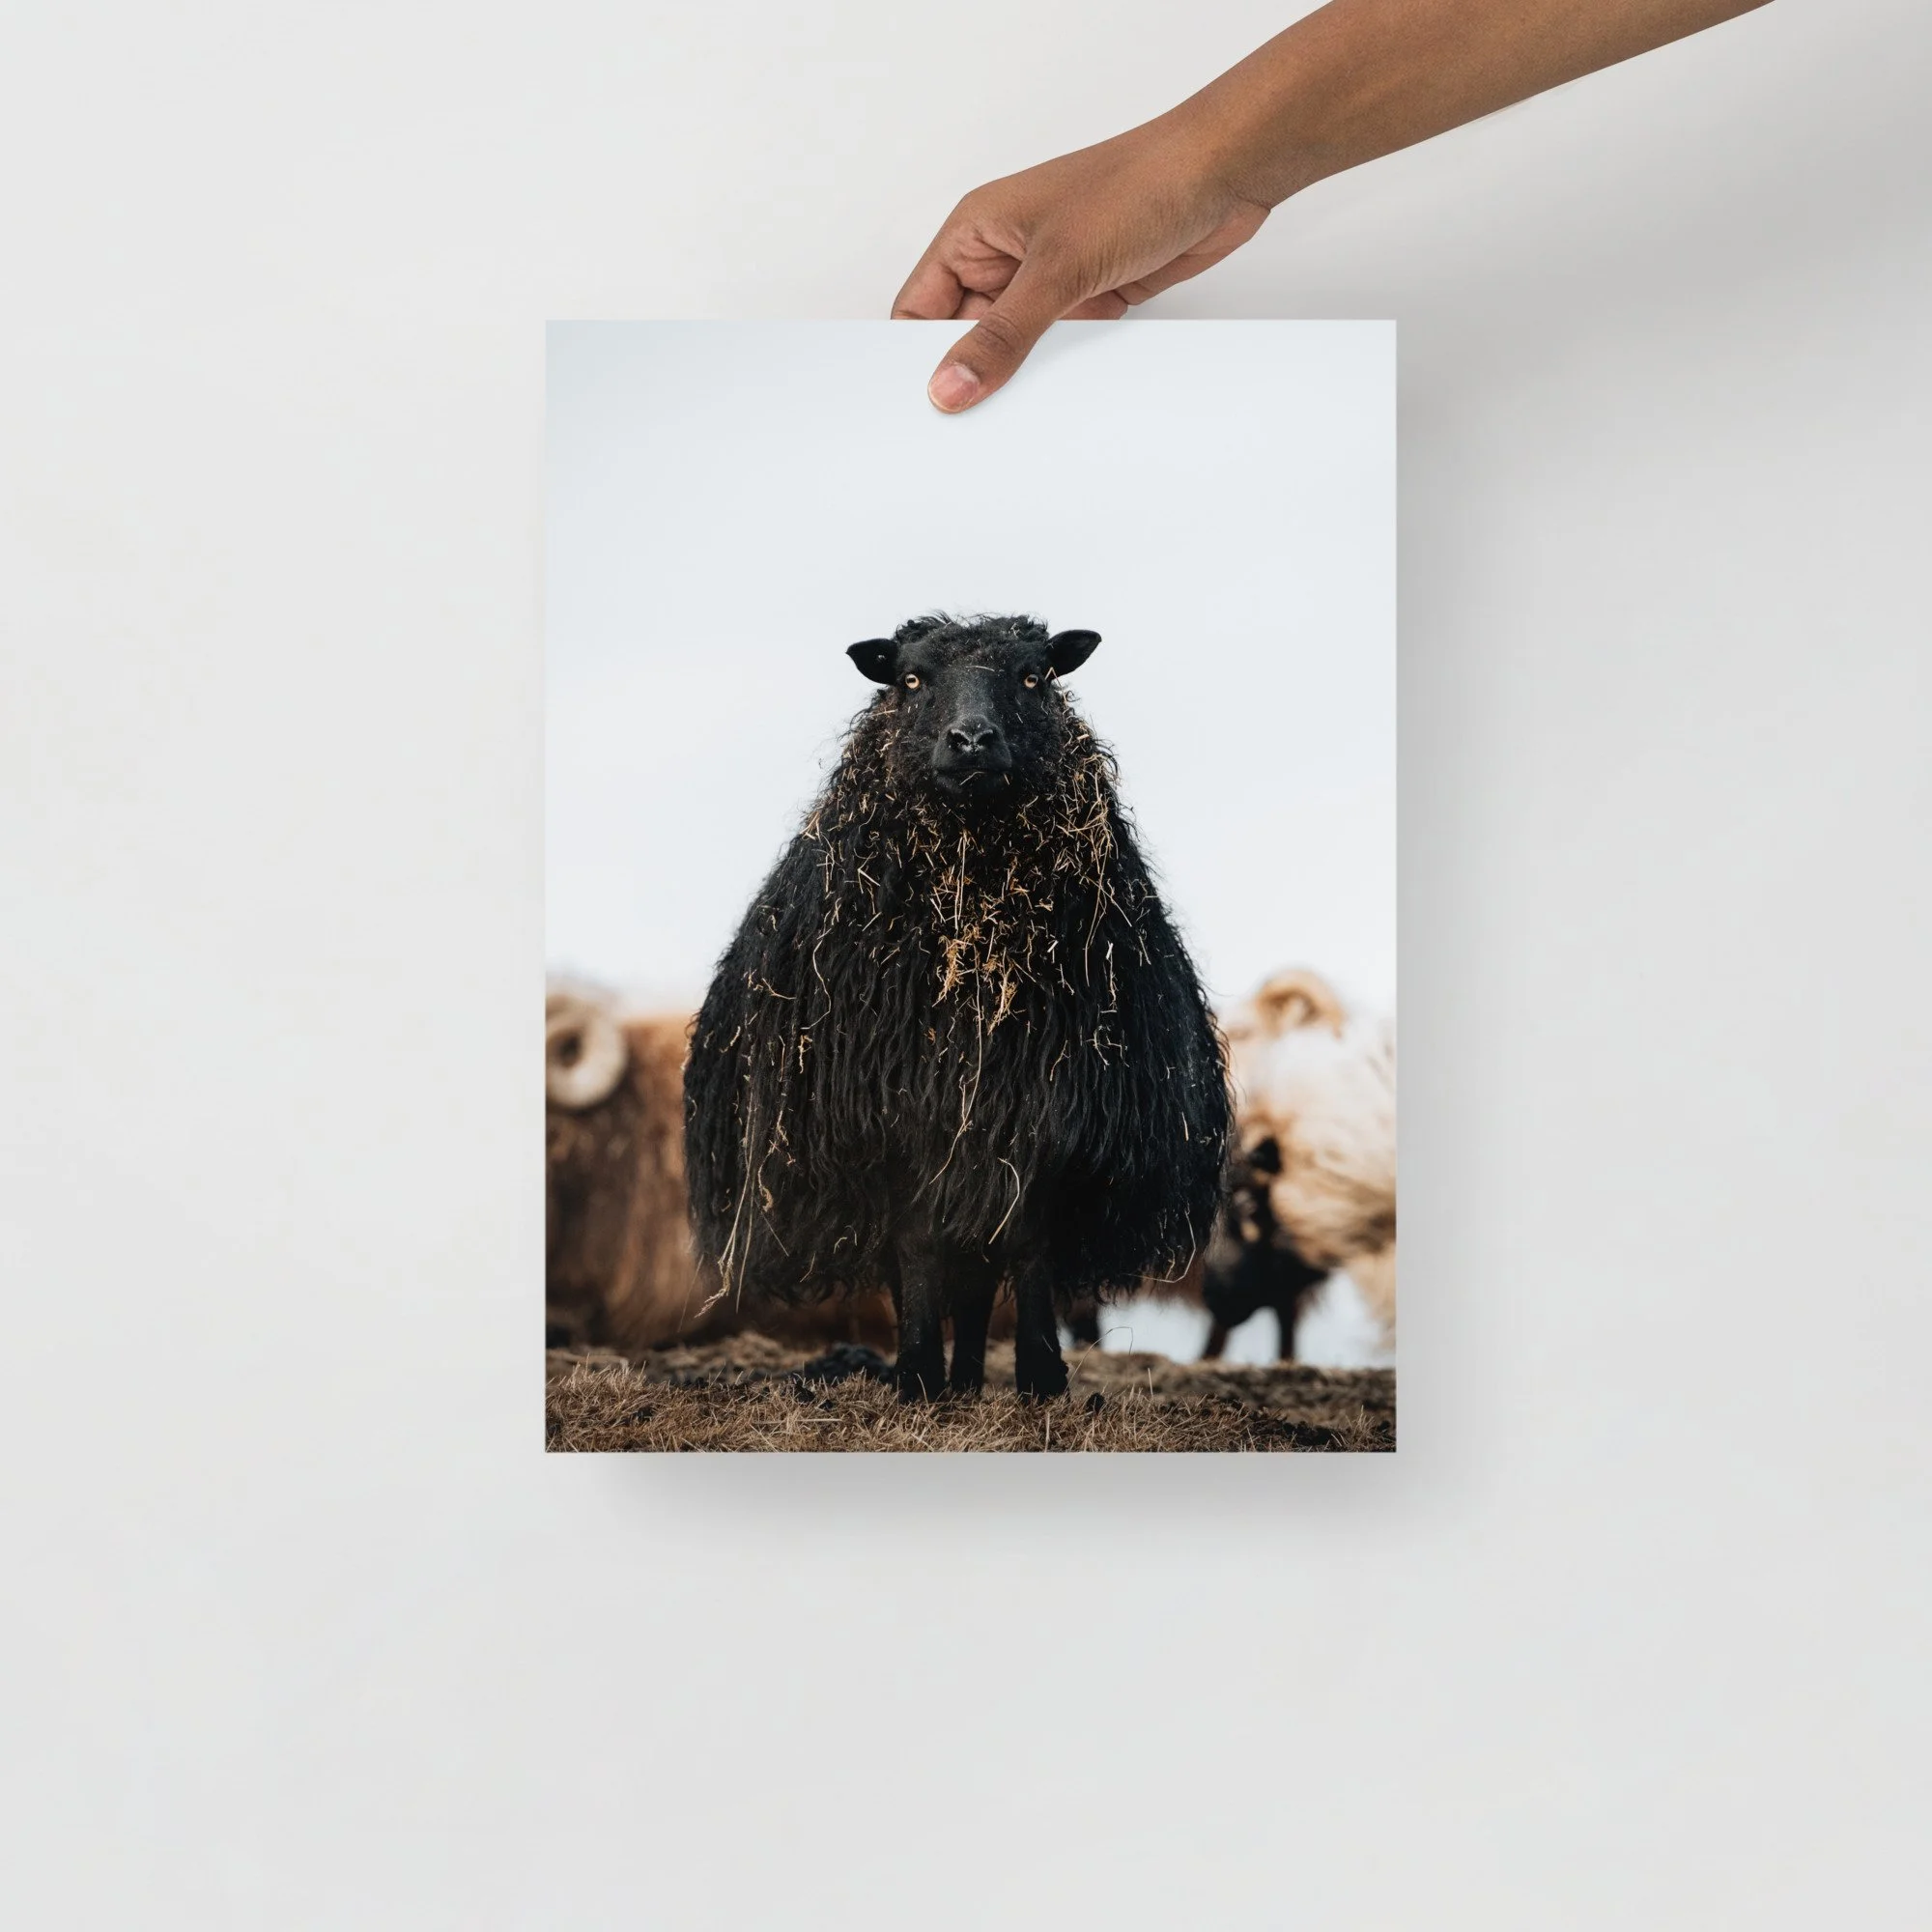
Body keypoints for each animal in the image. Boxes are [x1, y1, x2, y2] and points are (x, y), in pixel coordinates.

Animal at [684, 613, 1231, 1401]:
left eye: (1034, 676)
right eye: (911, 679)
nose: (972, 740)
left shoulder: (1040, 1114)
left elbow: (1027, 1242)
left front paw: (1041, 1377)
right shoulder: (895, 1121)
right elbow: (915, 1249)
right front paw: (916, 1374)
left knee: (977, 1272)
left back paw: (970, 1380)